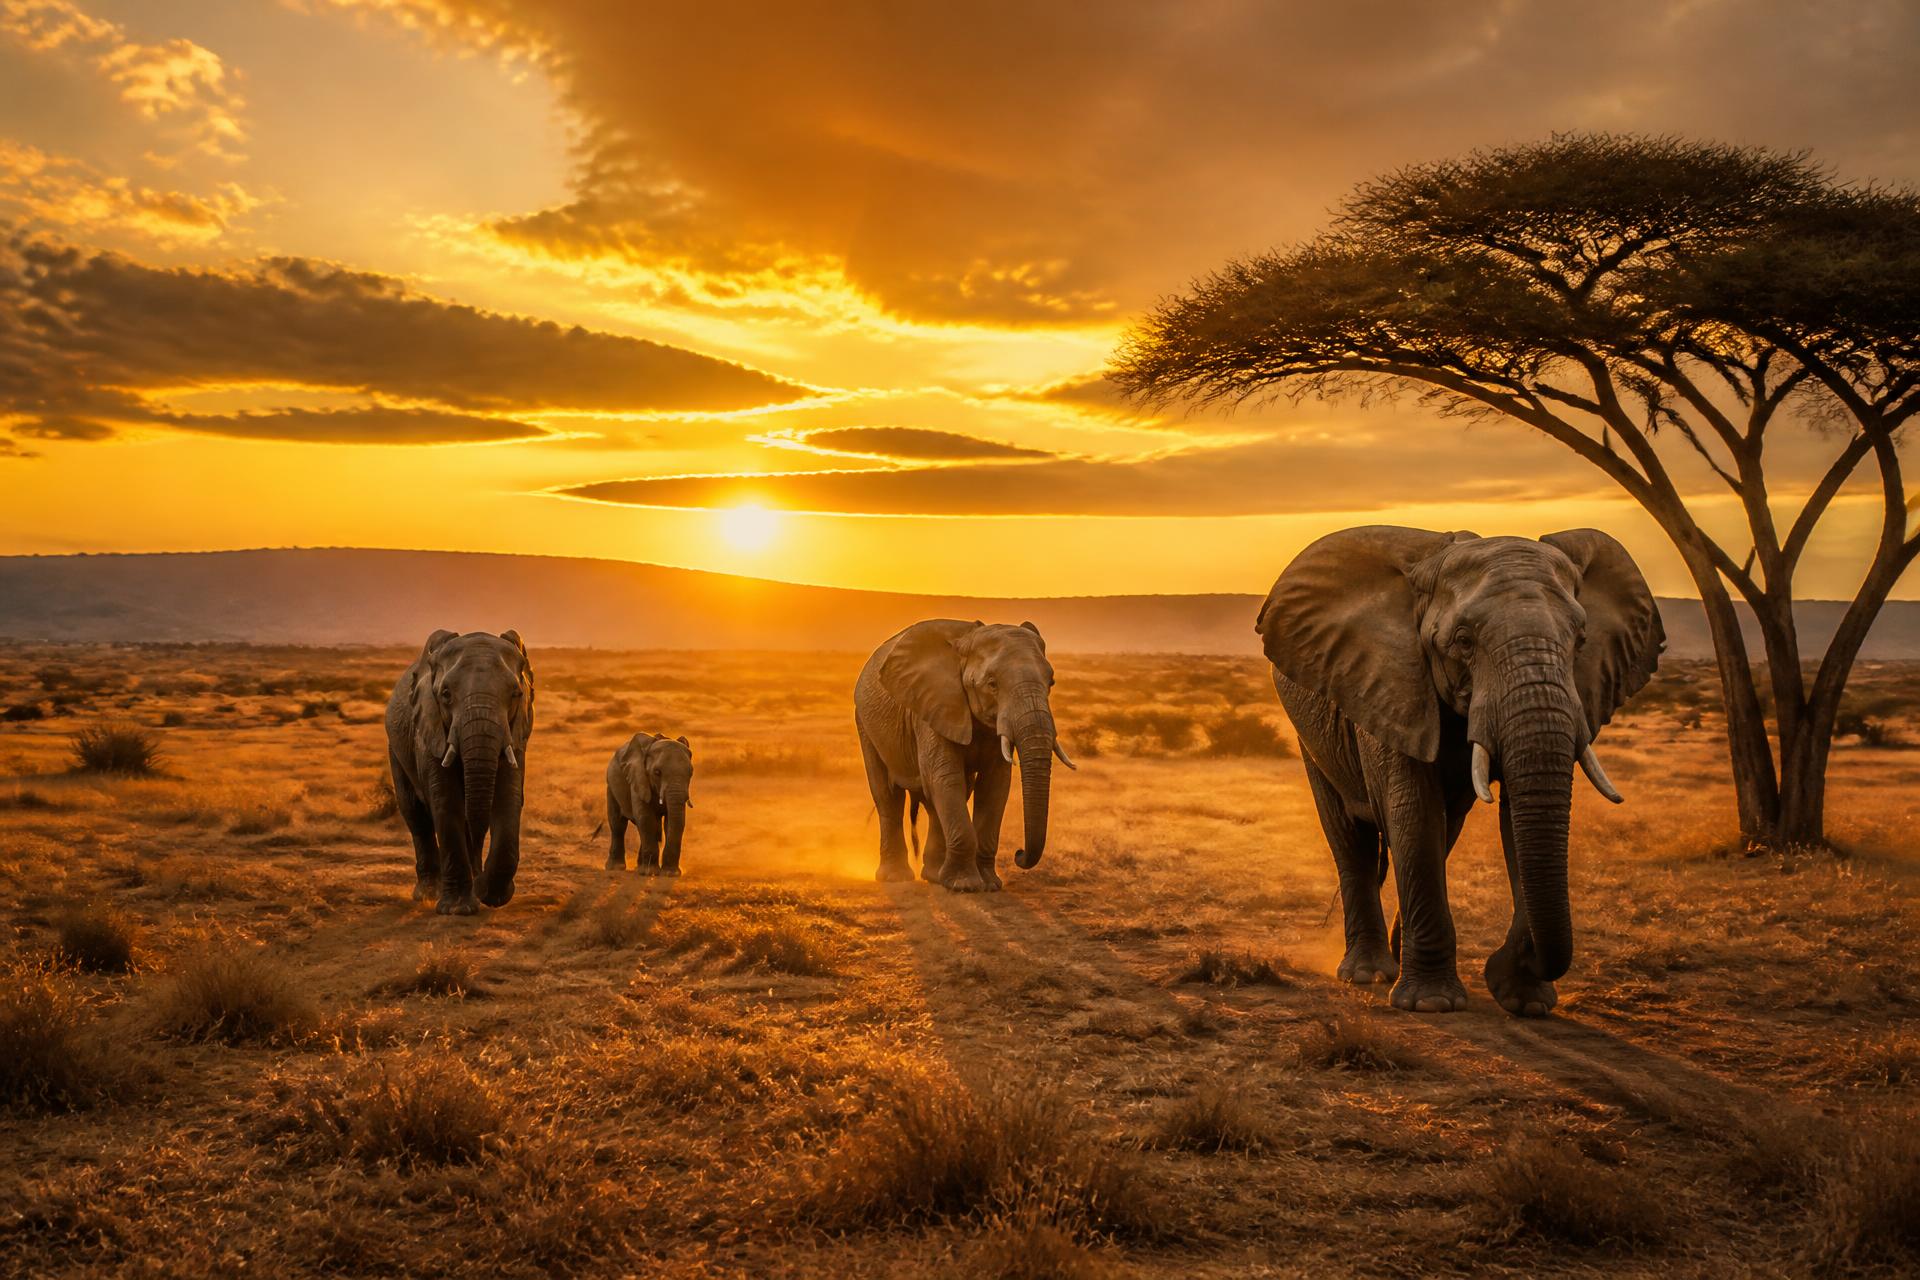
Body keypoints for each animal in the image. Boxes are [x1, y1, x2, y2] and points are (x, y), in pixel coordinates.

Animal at [383, 629, 535, 915]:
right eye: (445, 694)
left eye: (516, 694)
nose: (480, 881)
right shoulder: (428, 730)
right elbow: (445, 801)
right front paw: (457, 910)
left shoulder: (516, 733)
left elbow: (508, 799)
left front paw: (491, 895)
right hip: (396, 749)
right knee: (415, 815)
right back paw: (428, 894)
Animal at [605, 732, 693, 875]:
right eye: (657, 772)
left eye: (691, 773)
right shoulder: (638, 778)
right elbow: (645, 818)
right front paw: (650, 873)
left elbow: (672, 821)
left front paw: (670, 874)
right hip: (611, 785)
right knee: (618, 825)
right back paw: (616, 868)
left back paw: (639, 868)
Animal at [854, 619, 1075, 892]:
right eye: (992, 684)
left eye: (1051, 683)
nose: (1019, 853)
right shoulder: (934, 703)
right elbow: (946, 777)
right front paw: (965, 886)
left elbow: (994, 786)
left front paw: (990, 885)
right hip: (864, 723)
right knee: (888, 797)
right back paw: (895, 877)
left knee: (936, 802)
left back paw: (934, 876)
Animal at [1257, 527, 1661, 1016]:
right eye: (1464, 641)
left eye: (1581, 640)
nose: (1502, 962)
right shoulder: (1390, 685)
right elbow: (1413, 811)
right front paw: (1432, 1004)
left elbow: (1512, 820)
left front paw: (1526, 1002)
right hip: (1311, 733)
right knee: (1350, 836)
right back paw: (1367, 973)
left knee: (1442, 833)